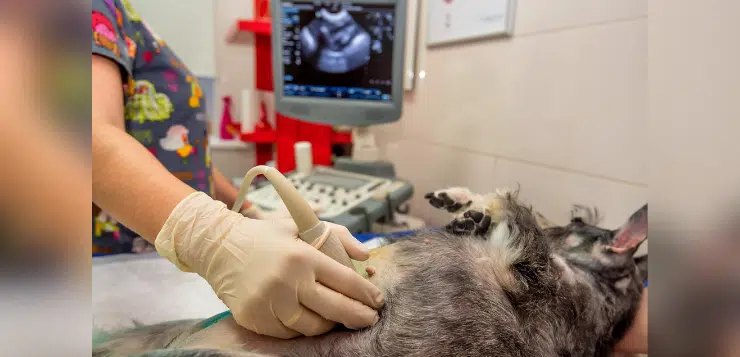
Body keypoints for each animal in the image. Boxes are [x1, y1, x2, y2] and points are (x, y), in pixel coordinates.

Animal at [94, 188, 648, 354]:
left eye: (575, 224)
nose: (571, 222)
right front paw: (462, 205)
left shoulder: (534, 276)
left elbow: (517, 213)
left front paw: (477, 208)